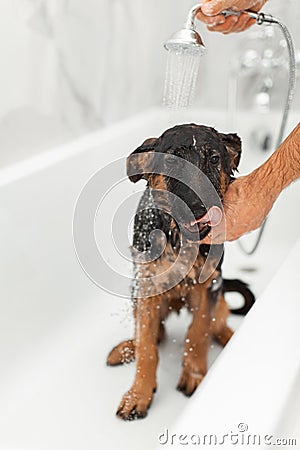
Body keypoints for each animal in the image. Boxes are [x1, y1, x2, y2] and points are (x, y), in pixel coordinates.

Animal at [106, 124, 254, 422]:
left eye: (213, 159)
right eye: (173, 163)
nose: (200, 210)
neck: (178, 239)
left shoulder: (209, 286)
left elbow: (198, 332)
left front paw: (194, 374)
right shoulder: (147, 289)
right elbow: (147, 348)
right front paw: (139, 393)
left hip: (218, 295)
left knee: (218, 322)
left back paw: (230, 338)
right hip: (137, 296)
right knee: (153, 335)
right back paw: (127, 347)